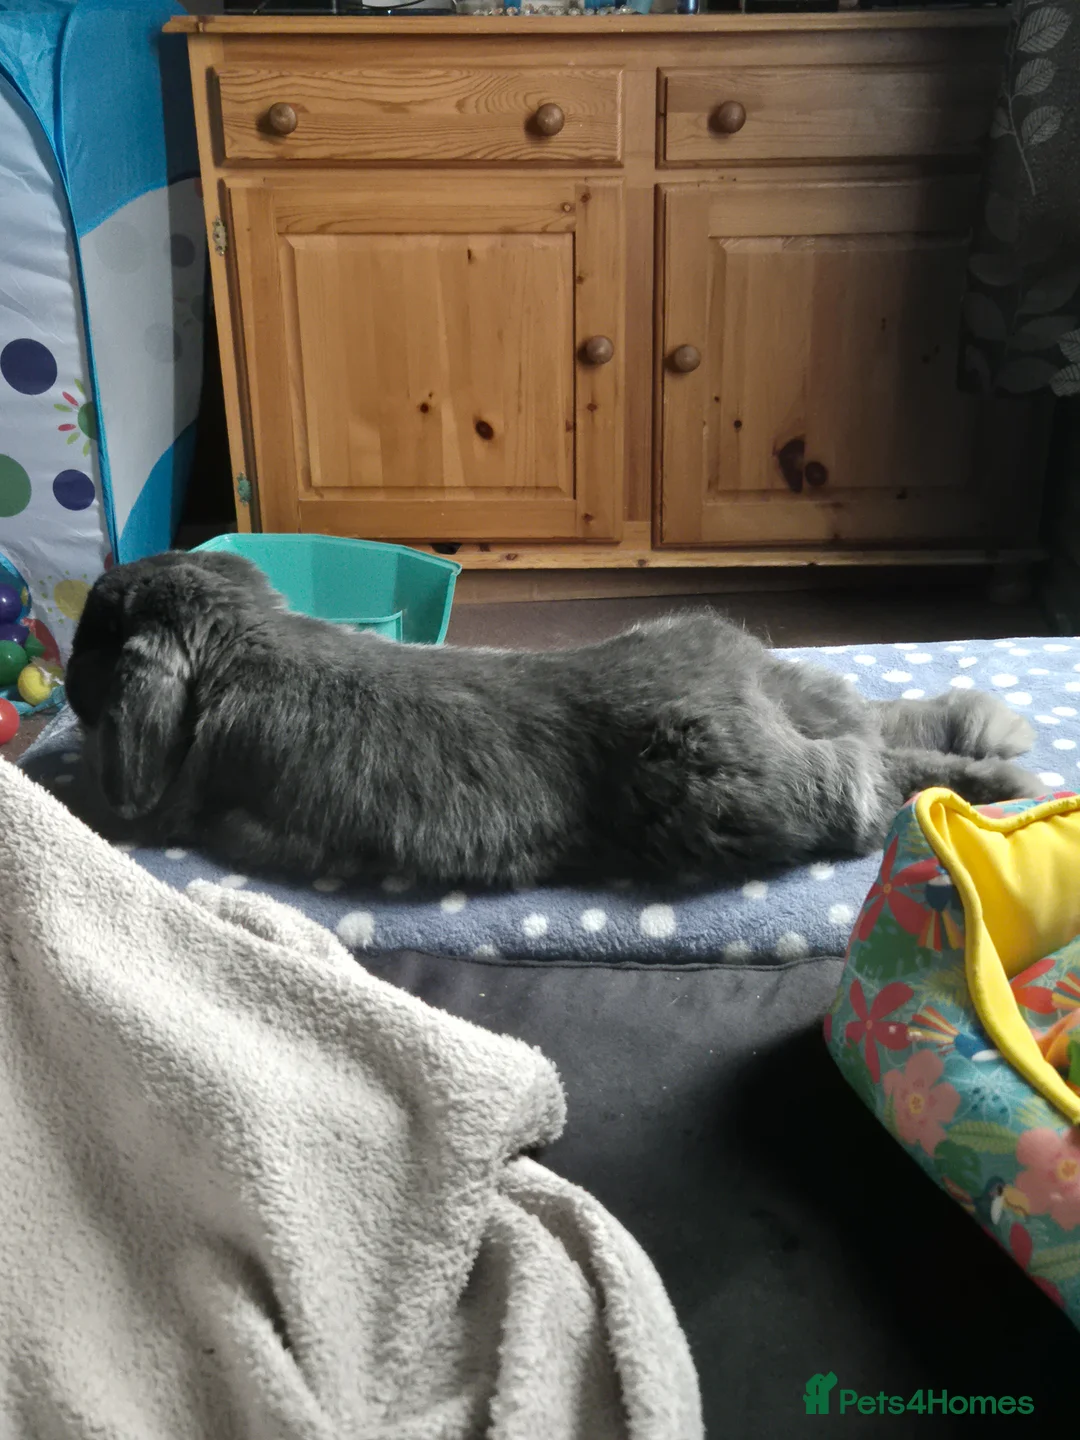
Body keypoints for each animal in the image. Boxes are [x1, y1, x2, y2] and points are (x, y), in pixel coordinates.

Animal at [62, 549, 1043, 888]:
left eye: (99, 637)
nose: (66, 684)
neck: (241, 642)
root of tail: (745, 680)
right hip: (798, 716)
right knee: (881, 729)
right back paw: (988, 739)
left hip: (745, 798)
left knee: (876, 781)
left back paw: (999, 782)